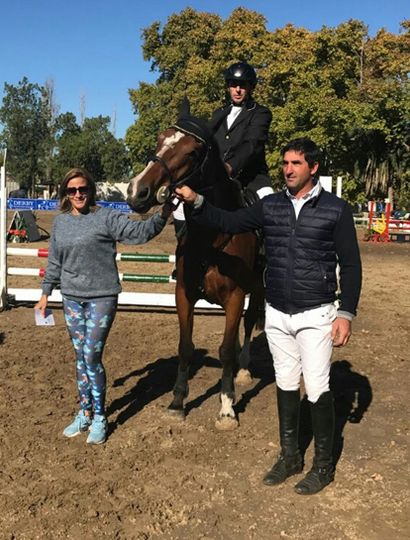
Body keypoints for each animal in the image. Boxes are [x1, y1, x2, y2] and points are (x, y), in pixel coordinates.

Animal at [126, 102, 264, 430]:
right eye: (160, 139)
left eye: (191, 152)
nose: (137, 191)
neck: (212, 233)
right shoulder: (184, 295)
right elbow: (185, 347)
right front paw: (177, 401)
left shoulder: (235, 297)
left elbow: (225, 351)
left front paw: (226, 409)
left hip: (258, 287)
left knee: (249, 323)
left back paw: (243, 370)